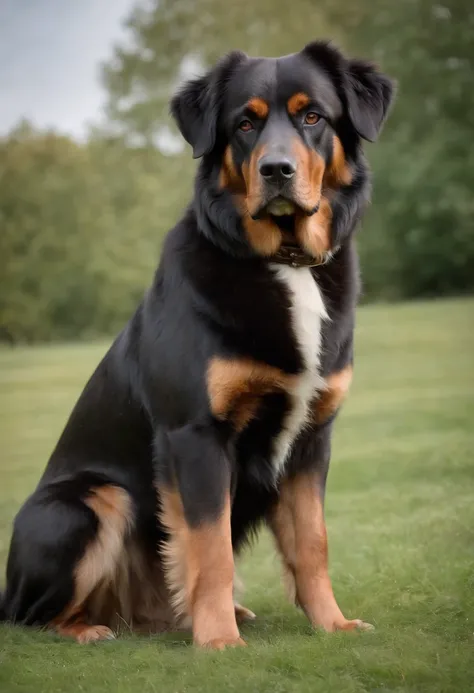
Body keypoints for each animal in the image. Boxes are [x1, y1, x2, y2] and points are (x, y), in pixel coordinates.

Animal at [0, 42, 394, 648]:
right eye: (245, 123)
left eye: (313, 117)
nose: (276, 171)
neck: (285, 264)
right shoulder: (197, 435)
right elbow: (210, 550)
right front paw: (218, 641)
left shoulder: (312, 438)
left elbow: (312, 543)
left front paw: (332, 623)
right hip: (94, 500)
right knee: (27, 615)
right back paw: (88, 629)